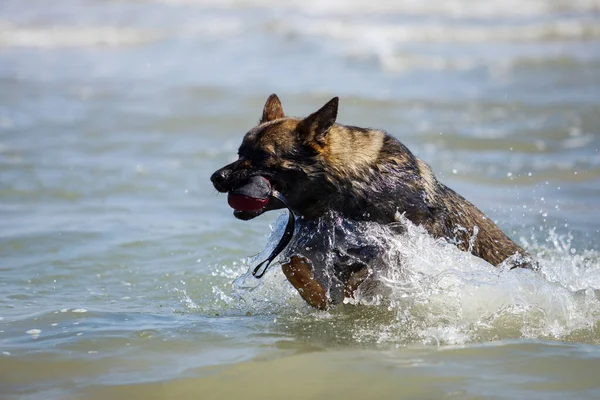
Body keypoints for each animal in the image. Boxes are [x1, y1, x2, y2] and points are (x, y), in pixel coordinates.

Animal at [210, 94, 536, 310]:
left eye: (263, 156)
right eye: (240, 153)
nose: (215, 177)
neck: (343, 194)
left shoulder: (393, 246)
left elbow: (364, 271)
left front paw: (342, 295)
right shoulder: (309, 245)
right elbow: (294, 266)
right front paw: (317, 295)